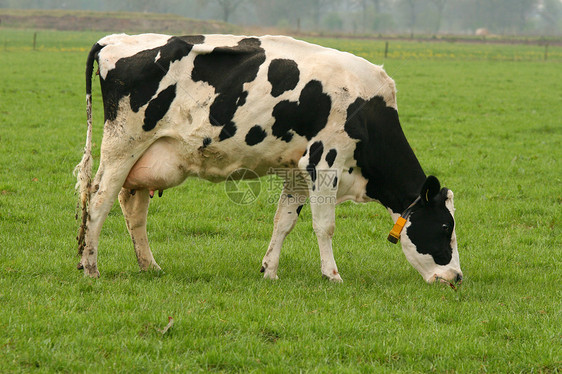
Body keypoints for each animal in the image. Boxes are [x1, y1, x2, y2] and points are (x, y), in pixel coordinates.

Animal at [75, 33, 460, 284]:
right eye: (446, 228)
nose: (456, 277)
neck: (367, 107)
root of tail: (114, 40)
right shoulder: (325, 161)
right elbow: (325, 224)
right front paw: (332, 275)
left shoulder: (298, 170)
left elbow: (284, 221)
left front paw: (269, 271)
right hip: (123, 143)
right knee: (99, 199)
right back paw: (91, 267)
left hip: (145, 157)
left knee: (132, 208)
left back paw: (149, 266)